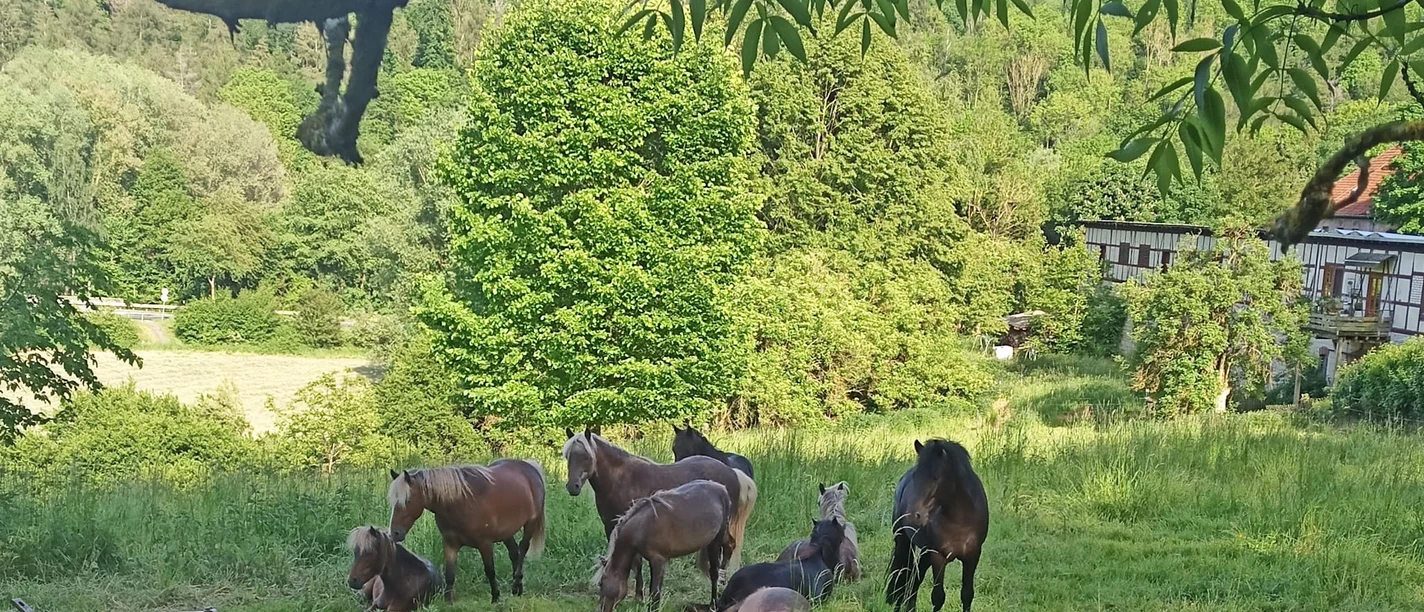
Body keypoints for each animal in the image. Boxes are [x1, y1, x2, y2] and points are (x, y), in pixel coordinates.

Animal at [387, 459, 547, 604]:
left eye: (407, 500)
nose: (394, 533)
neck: (461, 502)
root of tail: (530, 467)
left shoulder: (485, 544)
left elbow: (490, 571)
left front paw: (495, 598)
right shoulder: (450, 543)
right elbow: (450, 574)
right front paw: (448, 602)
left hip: (530, 524)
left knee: (522, 549)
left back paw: (516, 584)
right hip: (506, 532)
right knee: (514, 553)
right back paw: (518, 589)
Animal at [564, 428, 758, 598]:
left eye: (586, 457)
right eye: (568, 457)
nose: (573, 487)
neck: (622, 479)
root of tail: (733, 472)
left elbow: (637, 562)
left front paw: (639, 597)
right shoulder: (611, 526)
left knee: (729, 546)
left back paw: (722, 583)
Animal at [593, 479, 733, 612]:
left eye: (601, 583)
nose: (602, 609)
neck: (642, 527)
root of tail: (722, 488)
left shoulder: (658, 561)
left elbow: (655, 594)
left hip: (716, 542)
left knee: (714, 573)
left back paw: (713, 605)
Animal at [885, 439, 989, 612]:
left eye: (935, 478)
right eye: (916, 476)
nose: (914, 515)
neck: (959, 520)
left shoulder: (972, 555)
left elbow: (967, 594)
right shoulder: (938, 556)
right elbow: (938, 597)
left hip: (925, 551)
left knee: (915, 578)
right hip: (904, 541)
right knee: (902, 573)